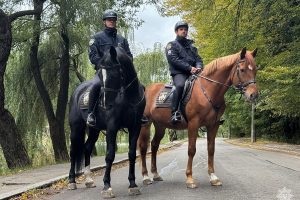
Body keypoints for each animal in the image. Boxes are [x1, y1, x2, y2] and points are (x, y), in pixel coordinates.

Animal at [69, 46, 146, 198]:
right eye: (100, 74)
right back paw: (72, 182)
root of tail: (77, 91)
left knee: (87, 148)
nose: (105, 103)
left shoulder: (135, 127)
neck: (129, 97)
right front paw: (107, 186)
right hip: (76, 128)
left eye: (113, 74)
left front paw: (133, 184)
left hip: (94, 130)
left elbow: (132, 154)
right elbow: (109, 155)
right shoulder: (112, 127)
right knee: (73, 151)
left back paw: (89, 180)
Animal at [138, 47, 258, 188]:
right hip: (146, 124)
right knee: (143, 148)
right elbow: (191, 150)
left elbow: (211, 149)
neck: (207, 90)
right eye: (243, 69)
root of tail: (147, 90)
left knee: (154, 145)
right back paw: (146, 177)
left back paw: (156, 174)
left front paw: (213, 177)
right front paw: (189, 178)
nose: (254, 95)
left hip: (160, 125)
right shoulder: (193, 124)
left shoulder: (213, 125)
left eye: (255, 69)